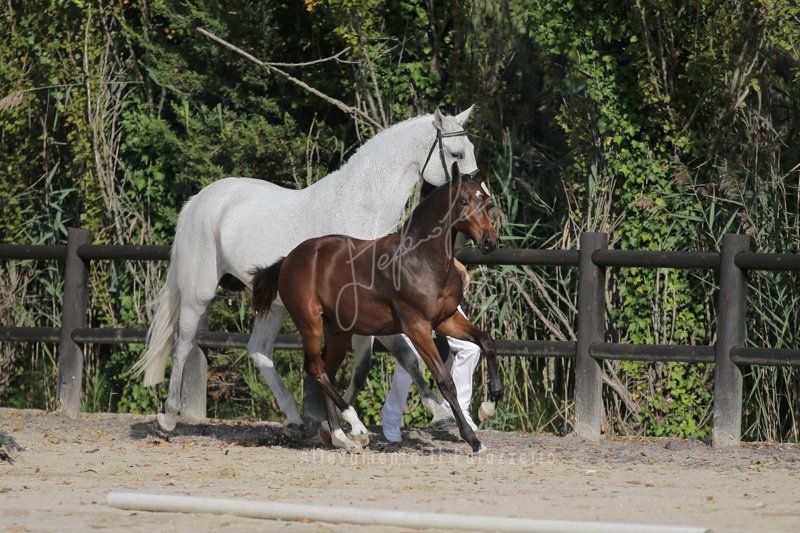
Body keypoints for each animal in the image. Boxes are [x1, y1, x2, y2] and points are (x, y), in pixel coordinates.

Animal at [133, 108, 479, 434]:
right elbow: (395, 357)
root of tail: (197, 200)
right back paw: (169, 417)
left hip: (272, 304)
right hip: (198, 295)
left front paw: (438, 415)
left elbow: (385, 362)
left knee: (258, 350)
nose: (479, 198)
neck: (360, 209)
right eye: (457, 154)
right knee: (182, 345)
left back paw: (294, 417)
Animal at [250, 165, 503, 454]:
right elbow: (444, 381)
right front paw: (473, 440)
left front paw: (488, 408)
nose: (489, 242)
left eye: (486, 202)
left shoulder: (446, 320)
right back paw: (355, 425)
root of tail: (288, 259)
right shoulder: (417, 327)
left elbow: (487, 341)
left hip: (337, 331)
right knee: (317, 370)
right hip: (311, 324)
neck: (421, 260)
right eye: (462, 201)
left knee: (325, 371)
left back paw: (341, 438)